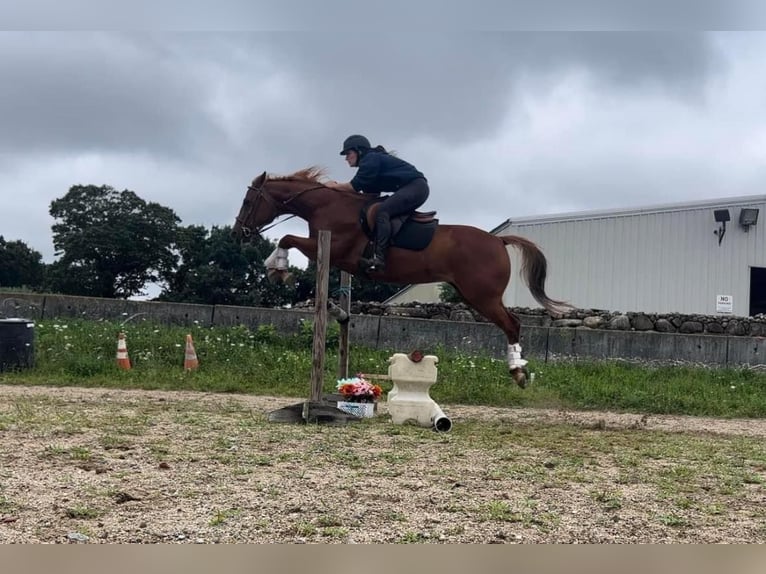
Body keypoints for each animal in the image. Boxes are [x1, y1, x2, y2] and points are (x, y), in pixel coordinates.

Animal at [234, 169, 568, 390]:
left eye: (248, 201)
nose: (239, 232)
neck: (327, 205)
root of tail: (498, 240)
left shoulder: (331, 248)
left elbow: (287, 238)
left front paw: (277, 268)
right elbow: (289, 239)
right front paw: (274, 267)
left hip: (482, 296)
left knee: (513, 324)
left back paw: (518, 373)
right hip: (472, 294)